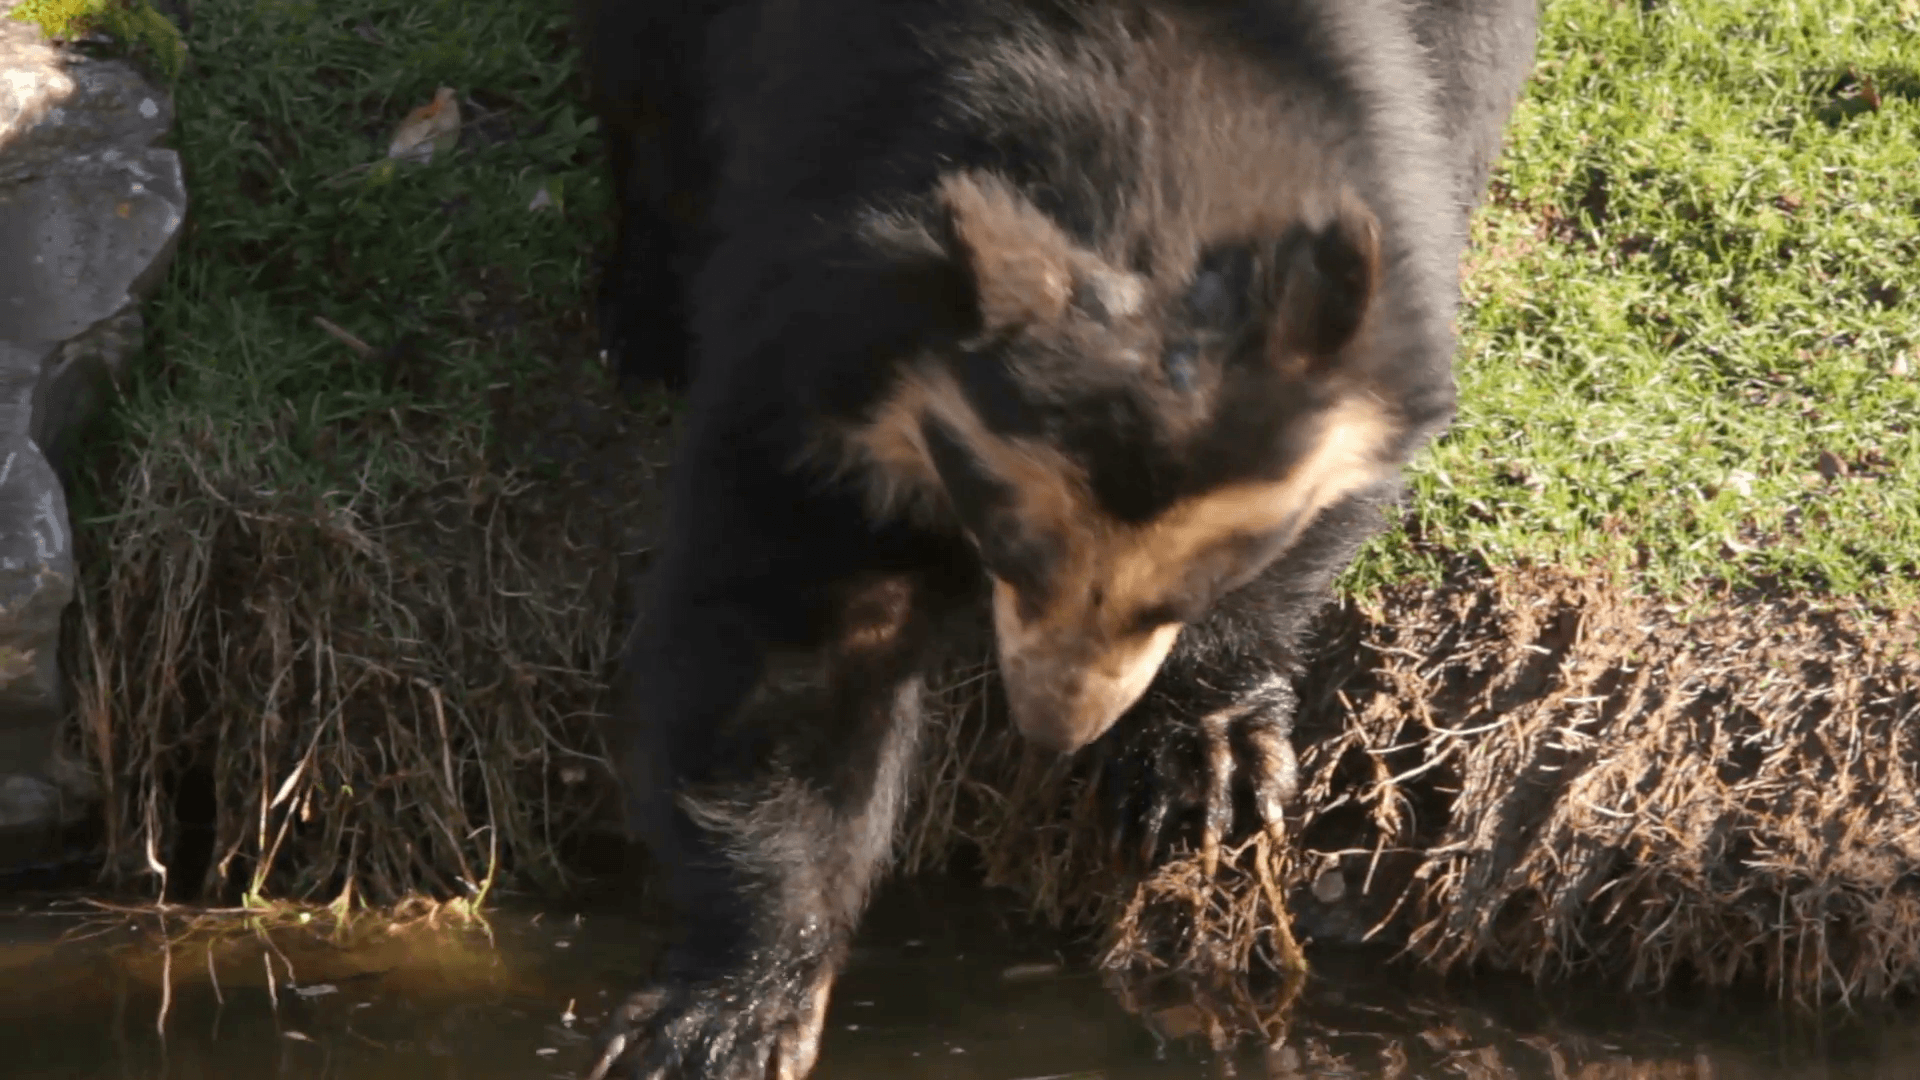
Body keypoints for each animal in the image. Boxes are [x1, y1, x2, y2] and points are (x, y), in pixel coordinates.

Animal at [576, 1, 1537, 1077]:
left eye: (1187, 591)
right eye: (1007, 543)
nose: (1052, 729)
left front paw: (1201, 774)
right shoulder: (822, 313)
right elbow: (791, 632)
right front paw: (723, 1019)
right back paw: (648, 322)